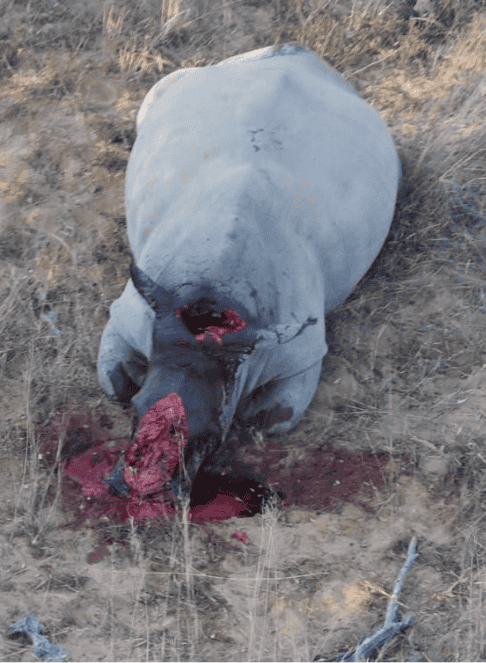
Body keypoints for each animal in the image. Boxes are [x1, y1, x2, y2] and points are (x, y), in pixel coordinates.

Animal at [98, 44, 401, 498]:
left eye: (213, 436)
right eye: (135, 411)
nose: (131, 490)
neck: (216, 295)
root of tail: (296, 54)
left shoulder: (301, 353)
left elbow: (268, 418)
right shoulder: (133, 313)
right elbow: (114, 383)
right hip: (176, 83)